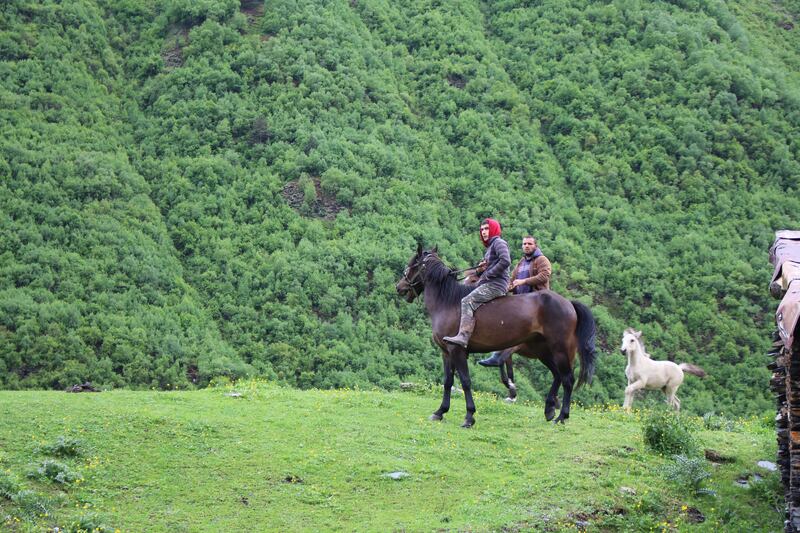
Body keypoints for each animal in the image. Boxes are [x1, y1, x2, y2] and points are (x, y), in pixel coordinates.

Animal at [396, 246, 596, 428]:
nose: (399, 286)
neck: (448, 303)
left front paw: (469, 416)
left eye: (412, 264)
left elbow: (466, 382)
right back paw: (549, 409)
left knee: (567, 380)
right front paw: (440, 412)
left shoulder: (457, 351)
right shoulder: (447, 353)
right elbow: (448, 382)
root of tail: (568, 303)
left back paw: (561, 416)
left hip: (560, 351)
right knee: (557, 375)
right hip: (543, 352)